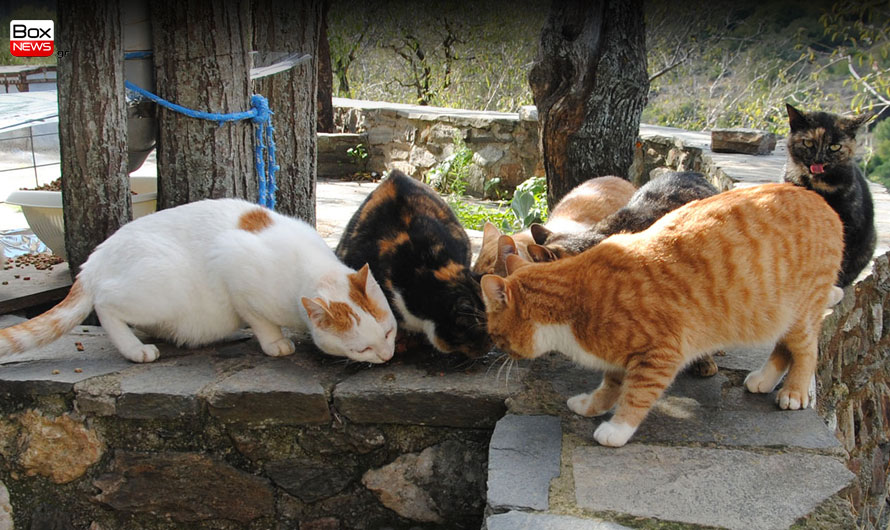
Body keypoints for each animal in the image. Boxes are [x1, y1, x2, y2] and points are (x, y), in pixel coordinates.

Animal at [0, 198, 396, 364]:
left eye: (389, 333)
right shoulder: (233, 266)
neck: (312, 267)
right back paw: (135, 349)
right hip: (163, 285)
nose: (388, 355)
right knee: (105, 304)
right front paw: (275, 342)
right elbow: (259, 319)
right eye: (363, 349)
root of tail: (95, 258)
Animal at [482, 184, 844, 448]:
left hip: (799, 312)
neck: (576, 297)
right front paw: (591, 406)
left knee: (806, 350)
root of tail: (819, 199)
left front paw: (616, 430)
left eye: (495, 334)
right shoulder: (620, 355)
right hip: (773, 316)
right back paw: (764, 379)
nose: (498, 353)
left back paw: (793, 392)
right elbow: (610, 386)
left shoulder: (660, 355)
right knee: (783, 348)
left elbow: (637, 394)